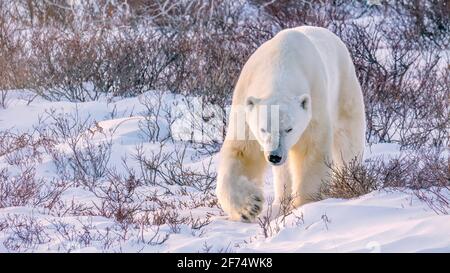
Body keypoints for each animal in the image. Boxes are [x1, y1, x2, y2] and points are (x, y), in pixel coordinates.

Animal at [215, 26, 366, 221]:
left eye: (289, 129)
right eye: (263, 129)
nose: (274, 156)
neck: (280, 65)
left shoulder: (314, 103)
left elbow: (312, 151)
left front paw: (305, 205)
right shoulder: (245, 102)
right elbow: (242, 152)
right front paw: (249, 206)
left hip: (344, 87)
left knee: (348, 142)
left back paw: (348, 181)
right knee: (283, 173)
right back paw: (280, 202)